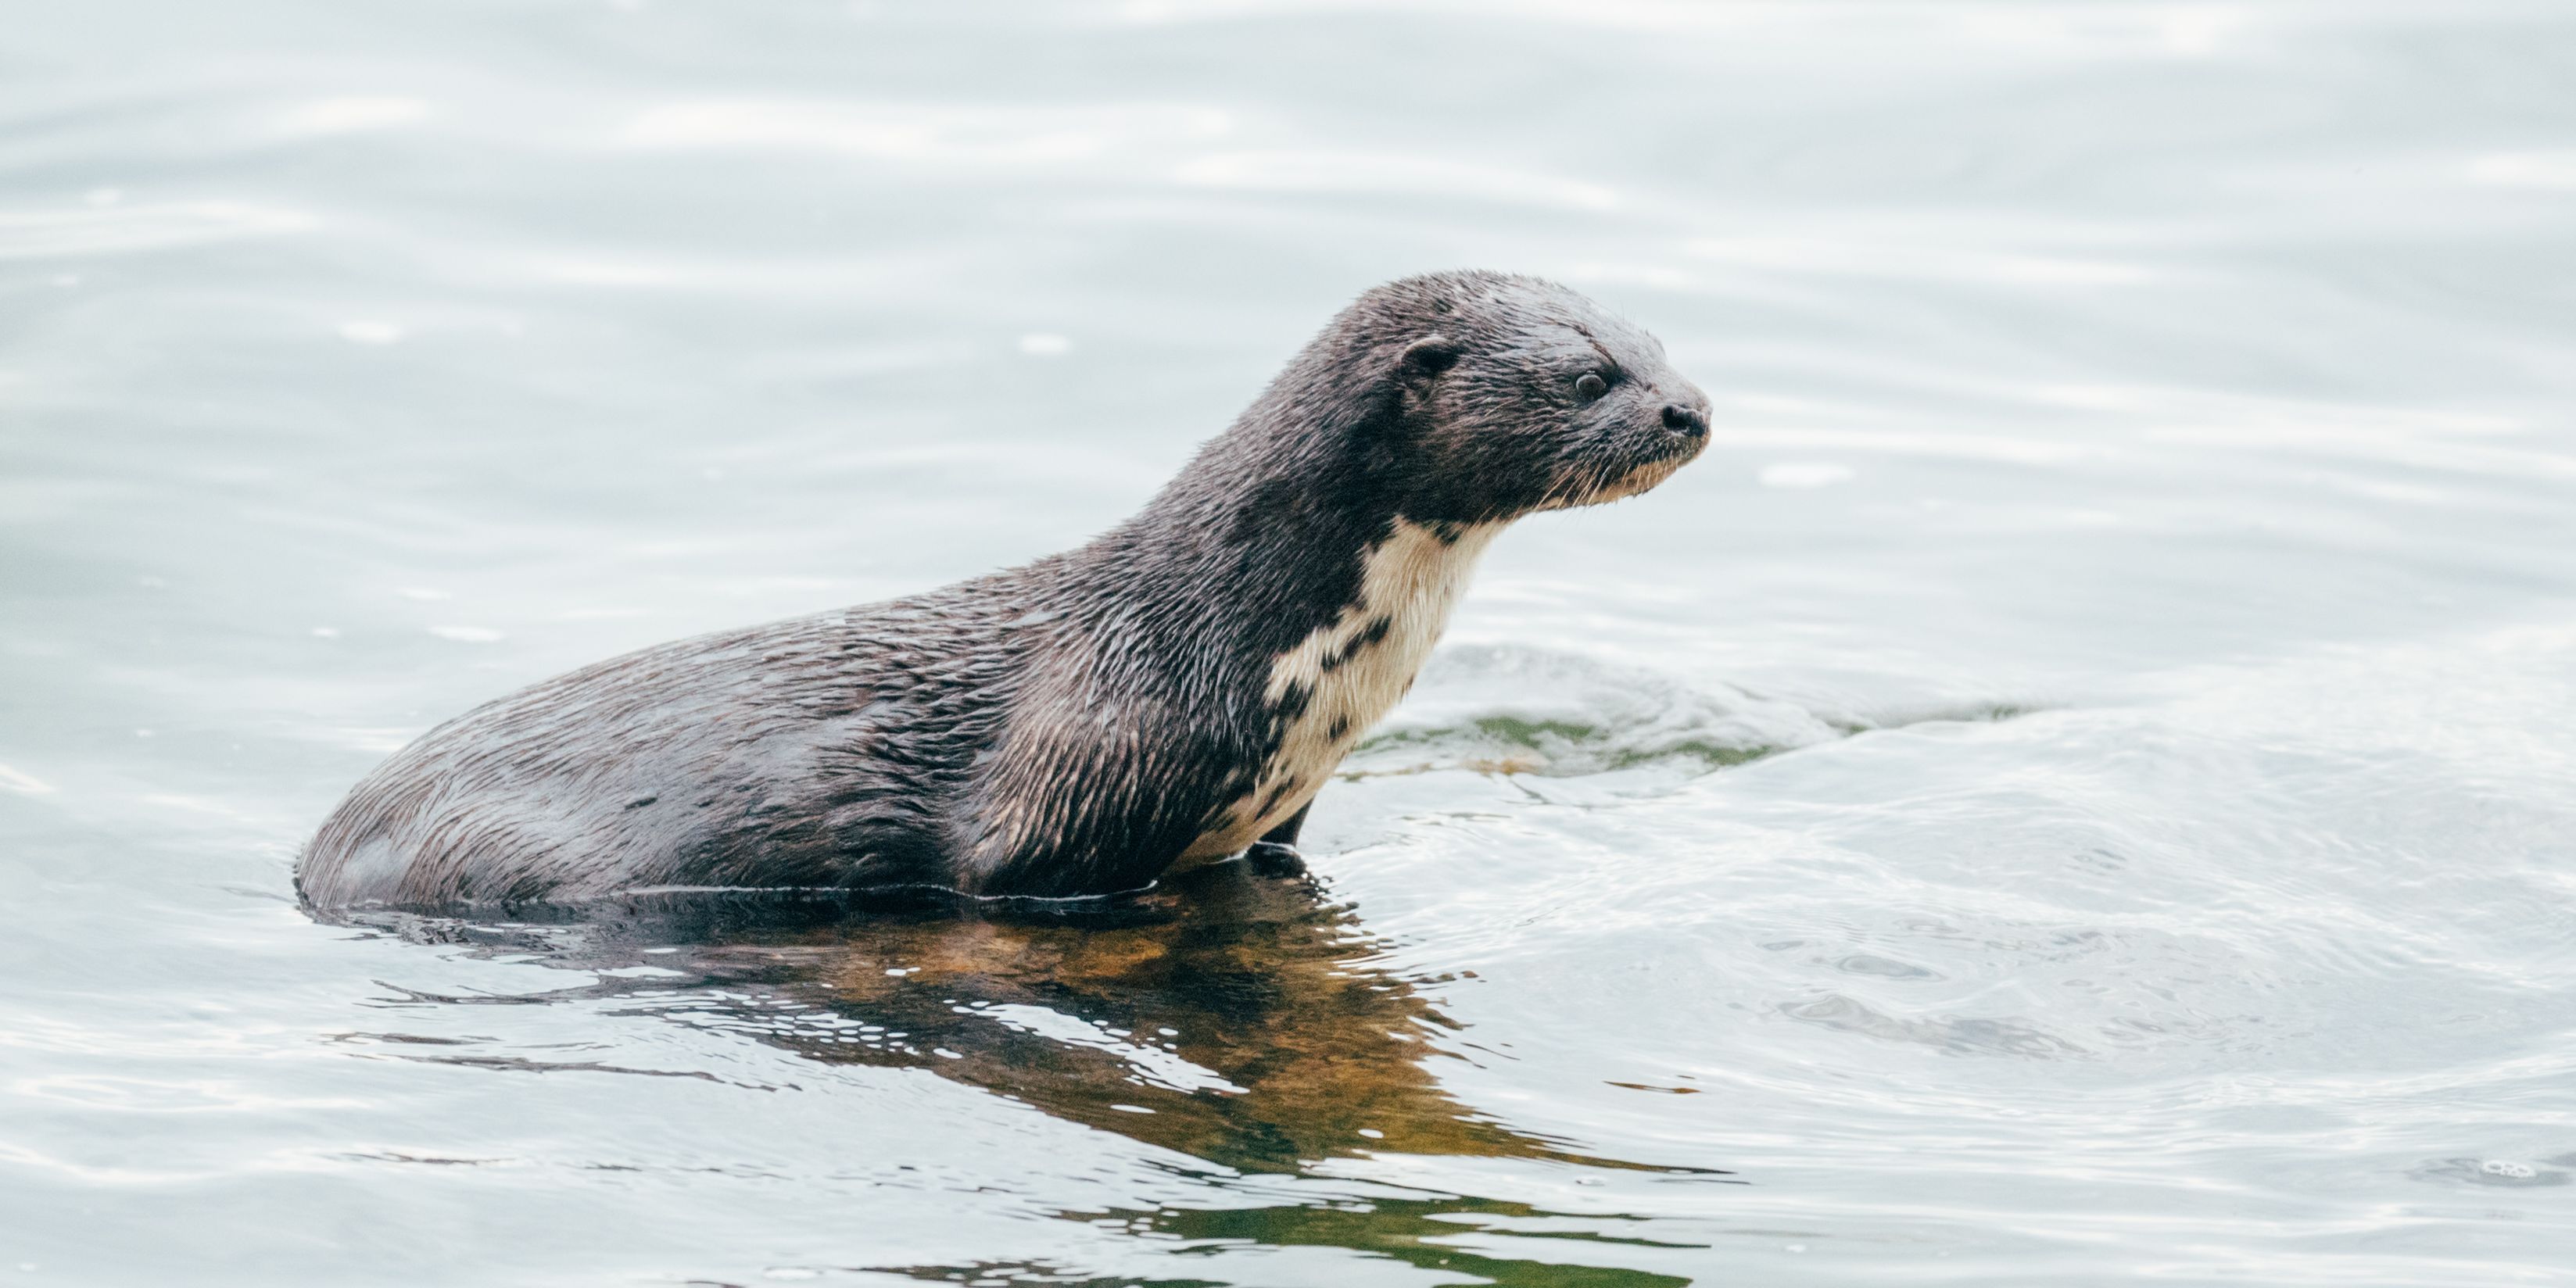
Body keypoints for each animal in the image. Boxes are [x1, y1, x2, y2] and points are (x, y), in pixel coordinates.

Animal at [298, 270, 1710, 910]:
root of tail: (317, 854)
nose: (1692, 409)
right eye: (1588, 376)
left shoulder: (1280, 813)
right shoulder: (1069, 797)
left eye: (1655, 339)